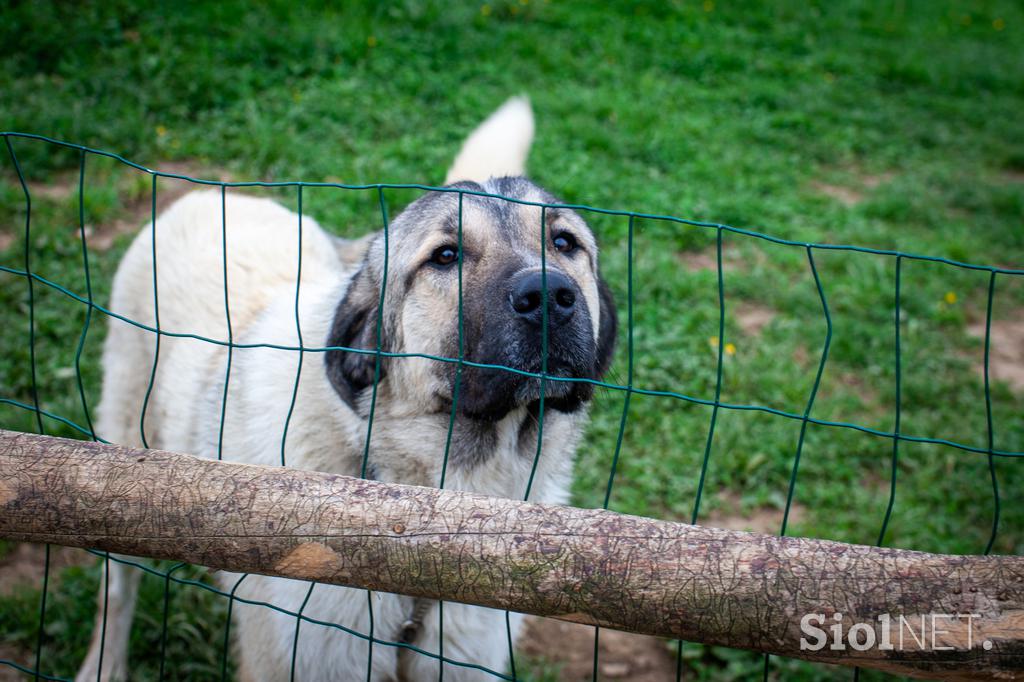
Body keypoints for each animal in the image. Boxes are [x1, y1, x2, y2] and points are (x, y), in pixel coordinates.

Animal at [74, 96, 614, 679]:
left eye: (564, 243)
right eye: (445, 256)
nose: (550, 296)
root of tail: (205, 194)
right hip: (123, 474)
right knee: (116, 590)